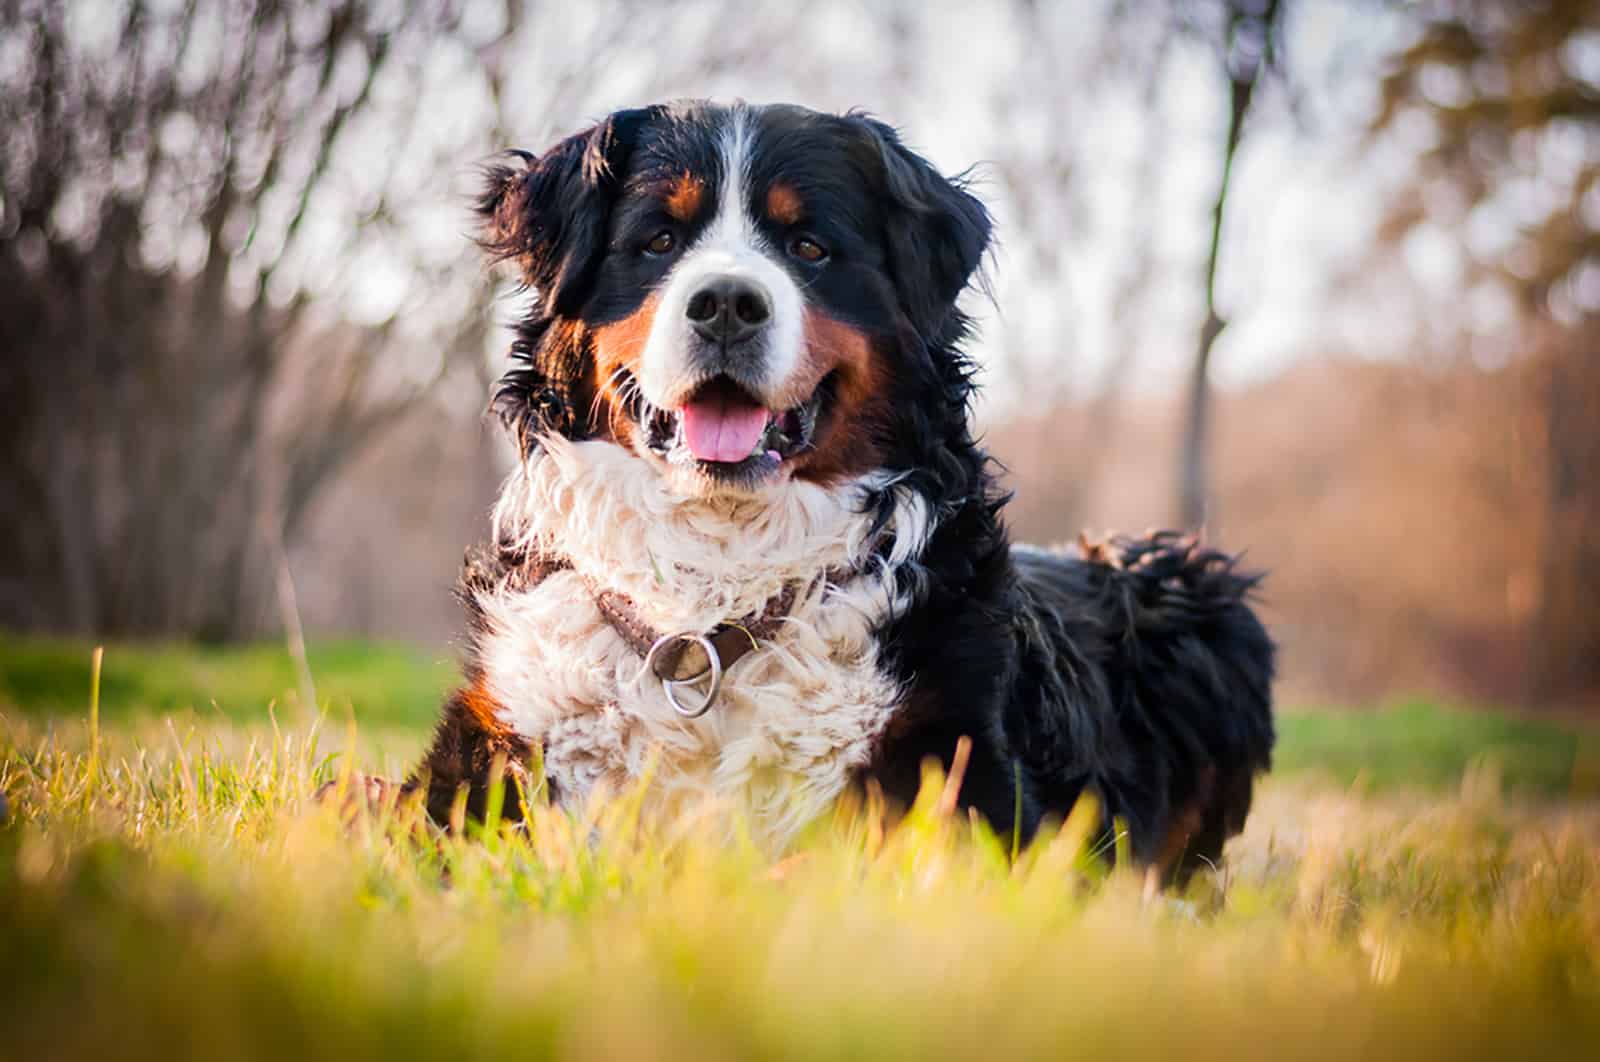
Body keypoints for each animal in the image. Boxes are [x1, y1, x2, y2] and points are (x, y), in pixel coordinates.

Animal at [403, 97, 1273, 876]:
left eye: (810, 246)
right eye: (658, 240)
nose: (726, 303)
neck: (713, 604)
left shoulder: (972, 784)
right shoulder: (487, 761)